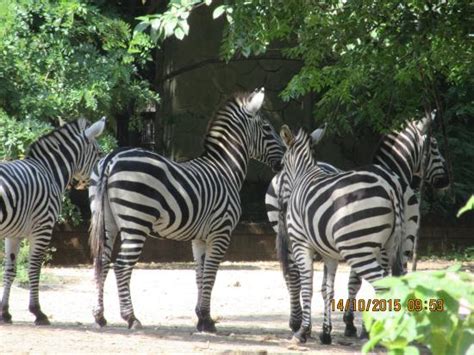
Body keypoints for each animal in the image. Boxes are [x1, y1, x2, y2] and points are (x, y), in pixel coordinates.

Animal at [0, 118, 105, 326]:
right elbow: (34, 269)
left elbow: (10, 270)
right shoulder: (43, 227)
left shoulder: (13, 234)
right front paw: (37, 312)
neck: (49, 171)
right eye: (99, 153)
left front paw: (5, 312)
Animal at [87, 88, 284, 330]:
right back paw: (131, 318)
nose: (284, 160)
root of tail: (111, 158)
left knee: (102, 262)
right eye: (267, 128)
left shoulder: (199, 237)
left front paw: (201, 317)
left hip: (107, 221)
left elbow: (200, 274)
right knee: (122, 266)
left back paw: (99, 316)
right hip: (136, 222)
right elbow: (211, 274)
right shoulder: (221, 232)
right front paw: (207, 320)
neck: (225, 169)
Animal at [278, 125, 408, 344]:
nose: (281, 203)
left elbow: (307, 285)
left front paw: (302, 332)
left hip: (357, 249)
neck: (303, 176)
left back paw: (377, 335)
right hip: (388, 246)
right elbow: (327, 290)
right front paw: (325, 333)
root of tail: (390, 186)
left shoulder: (300, 243)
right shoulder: (329, 254)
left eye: (281, 164)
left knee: (382, 285)